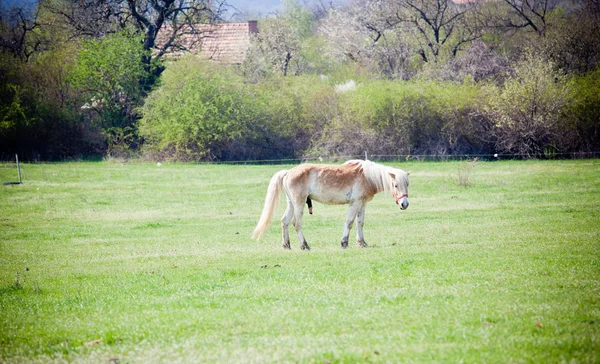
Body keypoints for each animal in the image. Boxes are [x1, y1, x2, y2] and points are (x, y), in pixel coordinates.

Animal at [251, 160, 410, 250]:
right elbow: (349, 222)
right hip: (299, 203)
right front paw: (344, 243)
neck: (367, 176)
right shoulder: (355, 203)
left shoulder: (362, 204)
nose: (404, 204)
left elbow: (360, 223)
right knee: (296, 223)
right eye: (396, 185)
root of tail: (288, 172)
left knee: (285, 222)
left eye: (407, 184)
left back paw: (286, 245)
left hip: (291, 204)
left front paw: (362, 243)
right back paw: (304, 245)